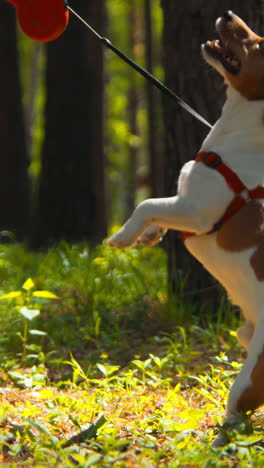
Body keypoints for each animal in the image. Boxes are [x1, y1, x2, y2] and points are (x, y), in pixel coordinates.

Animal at [108, 11, 264, 446]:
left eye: (258, 43)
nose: (228, 13)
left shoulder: (195, 212)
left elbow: (145, 204)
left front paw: (124, 236)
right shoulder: (182, 207)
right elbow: (156, 210)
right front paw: (148, 235)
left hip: (250, 375)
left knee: (237, 415)